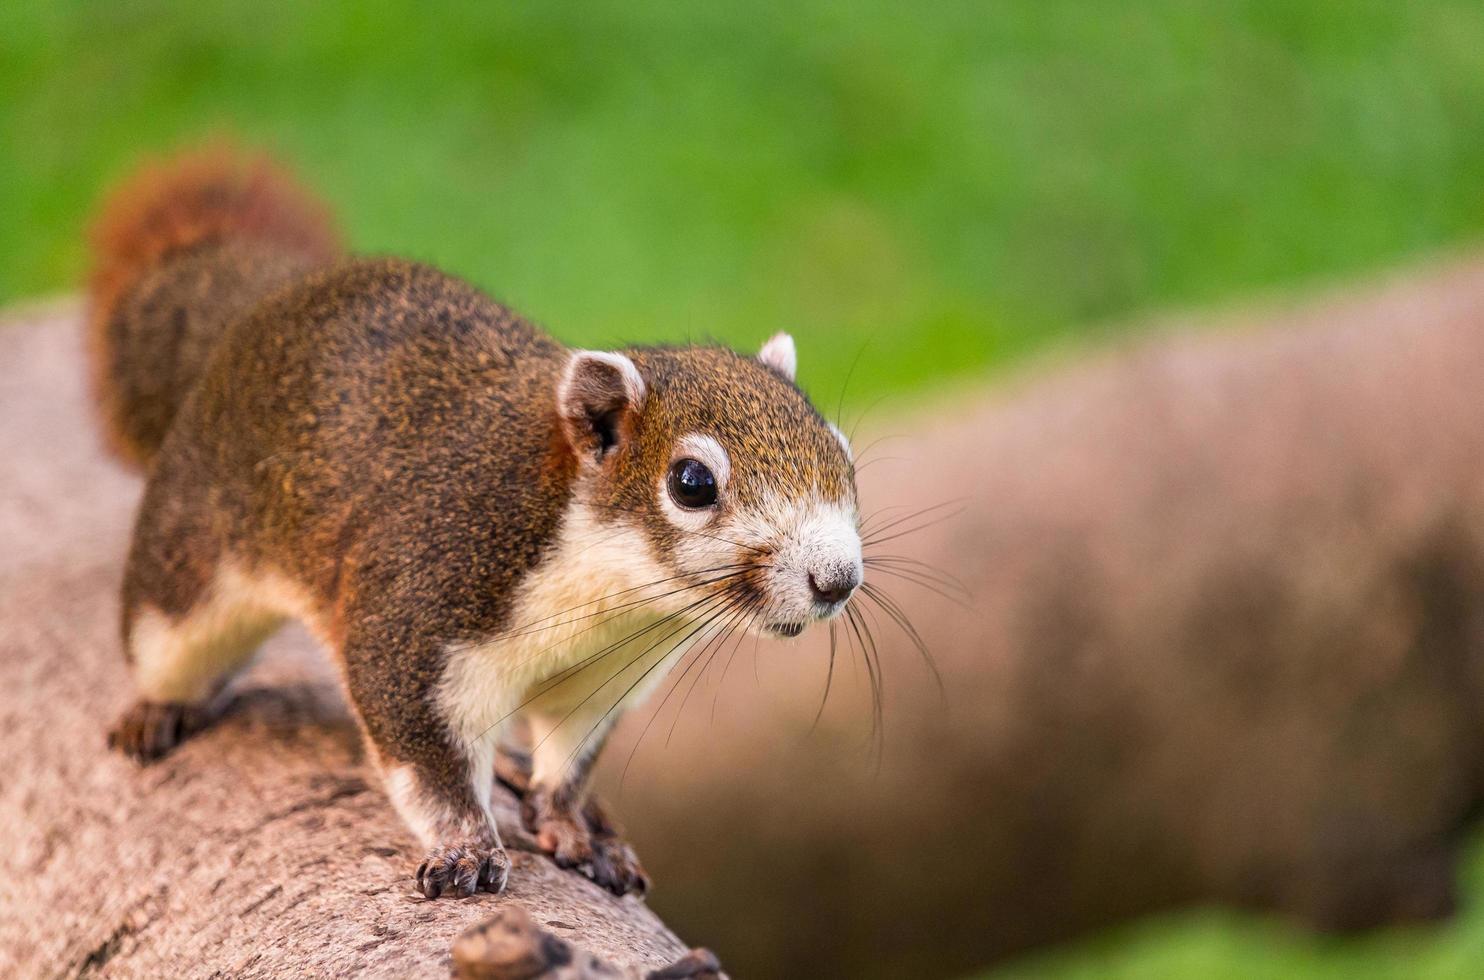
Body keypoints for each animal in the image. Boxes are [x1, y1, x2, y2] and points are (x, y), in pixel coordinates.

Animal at [86, 149, 866, 896]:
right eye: (692, 483)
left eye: (844, 457)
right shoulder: (422, 605)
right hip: (186, 561)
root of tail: (256, 313)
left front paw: (571, 825)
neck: (608, 588)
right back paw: (159, 710)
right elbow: (427, 758)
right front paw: (465, 848)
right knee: (167, 641)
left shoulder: (601, 675)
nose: (837, 579)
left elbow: (569, 759)